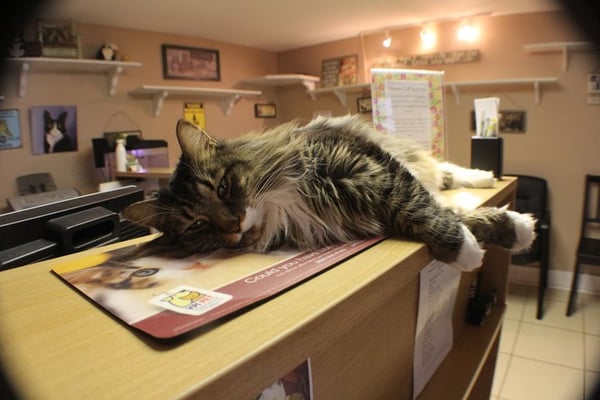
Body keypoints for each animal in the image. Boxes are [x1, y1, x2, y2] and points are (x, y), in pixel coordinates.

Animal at [123, 115, 536, 272]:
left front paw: (493, 236)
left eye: (222, 186)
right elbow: (445, 215)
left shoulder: (372, 167)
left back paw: (485, 175)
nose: (234, 224)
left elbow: (423, 208)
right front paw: (480, 244)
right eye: (196, 225)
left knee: (447, 173)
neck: (282, 202)